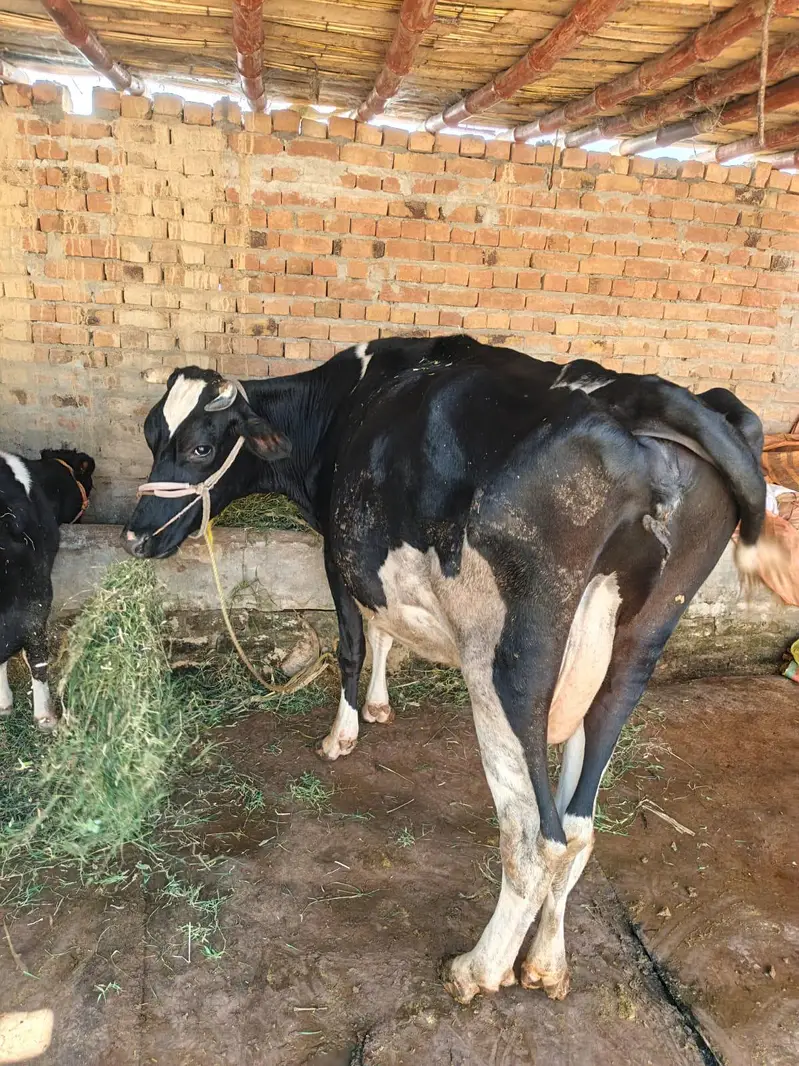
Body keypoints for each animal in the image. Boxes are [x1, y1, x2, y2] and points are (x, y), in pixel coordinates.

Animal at [123, 334, 778, 1004]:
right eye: (151, 435)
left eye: (201, 447)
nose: (135, 537)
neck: (341, 401)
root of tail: (648, 393)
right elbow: (385, 633)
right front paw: (380, 706)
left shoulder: (338, 553)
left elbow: (355, 643)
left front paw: (342, 734)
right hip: (634, 647)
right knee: (578, 826)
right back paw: (546, 962)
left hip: (506, 663)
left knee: (533, 838)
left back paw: (478, 970)